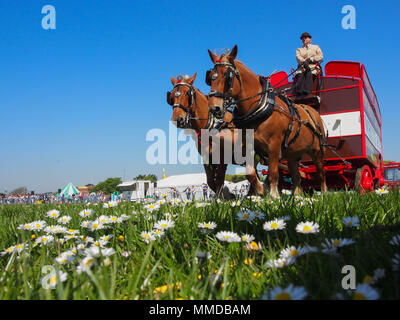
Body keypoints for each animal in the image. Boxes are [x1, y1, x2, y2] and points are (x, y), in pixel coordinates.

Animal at [208, 45, 326, 198]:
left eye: (227, 76)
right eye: (211, 77)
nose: (214, 108)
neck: (258, 107)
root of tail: (313, 112)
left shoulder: (274, 145)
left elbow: (273, 172)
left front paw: (274, 196)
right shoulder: (250, 147)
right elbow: (250, 173)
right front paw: (261, 190)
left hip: (317, 150)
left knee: (321, 173)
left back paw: (324, 194)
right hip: (293, 155)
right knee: (296, 177)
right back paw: (296, 197)